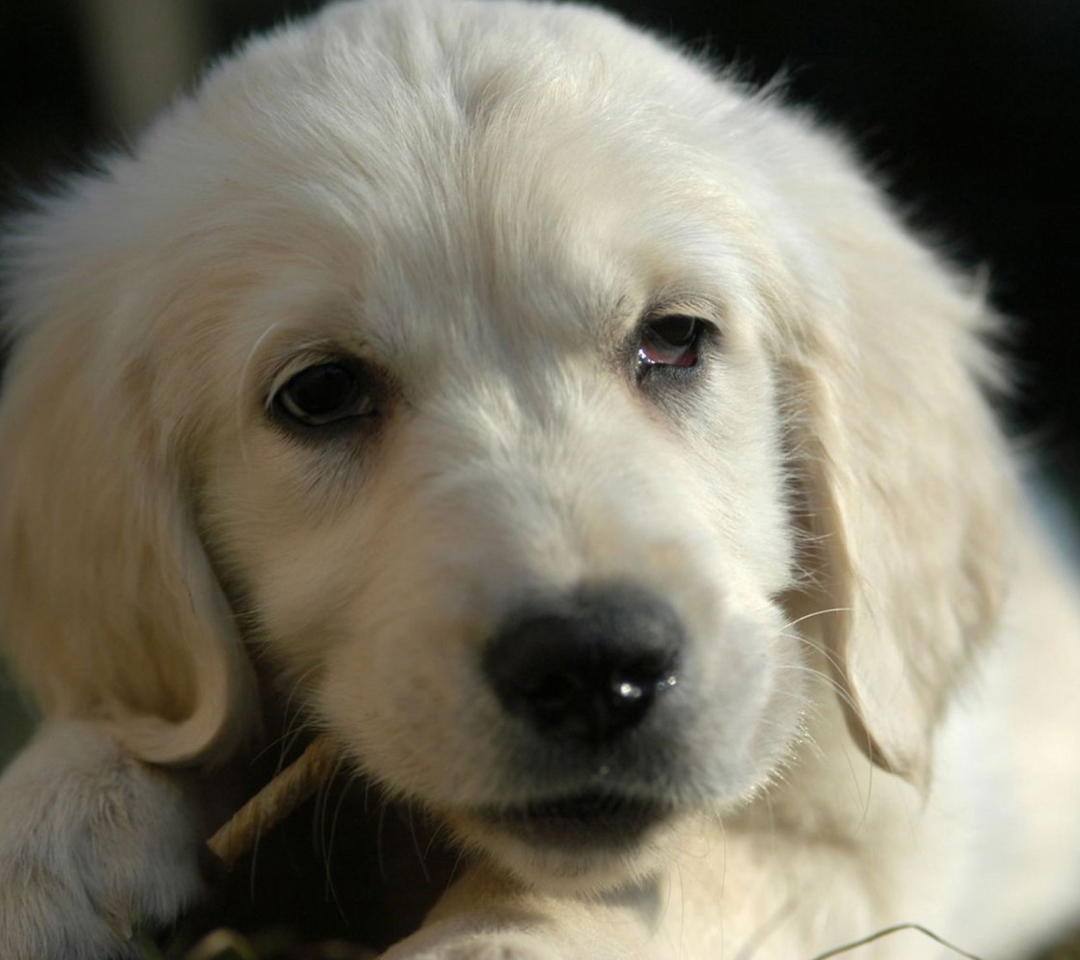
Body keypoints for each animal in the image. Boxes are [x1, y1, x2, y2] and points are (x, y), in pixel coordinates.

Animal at [2, 1, 1080, 958]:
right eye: (320, 393)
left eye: (675, 338)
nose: (593, 669)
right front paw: (45, 830)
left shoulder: (875, 835)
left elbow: (701, 865)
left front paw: (501, 938)